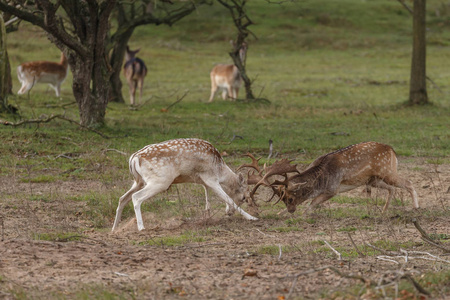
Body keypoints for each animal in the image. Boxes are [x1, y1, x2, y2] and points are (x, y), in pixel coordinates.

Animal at [111, 138, 256, 232]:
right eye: (244, 197)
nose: (229, 213)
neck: (220, 168)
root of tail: (133, 158)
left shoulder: (203, 181)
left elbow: (207, 198)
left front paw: (207, 216)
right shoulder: (210, 178)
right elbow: (228, 198)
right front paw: (252, 217)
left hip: (138, 181)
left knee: (122, 198)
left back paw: (114, 228)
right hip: (160, 181)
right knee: (136, 197)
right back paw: (141, 227)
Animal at [241, 142, 420, 213]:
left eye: (290, 198)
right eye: (283, 200)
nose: (291, 210)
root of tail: (392, 150)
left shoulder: (333, 189)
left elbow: (311, 204)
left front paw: (303, 214)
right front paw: (280, 214)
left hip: (387, 171)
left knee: (409, 182)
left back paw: (416, 207)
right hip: (374, 179)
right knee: (391, 189)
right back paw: (383, 211)